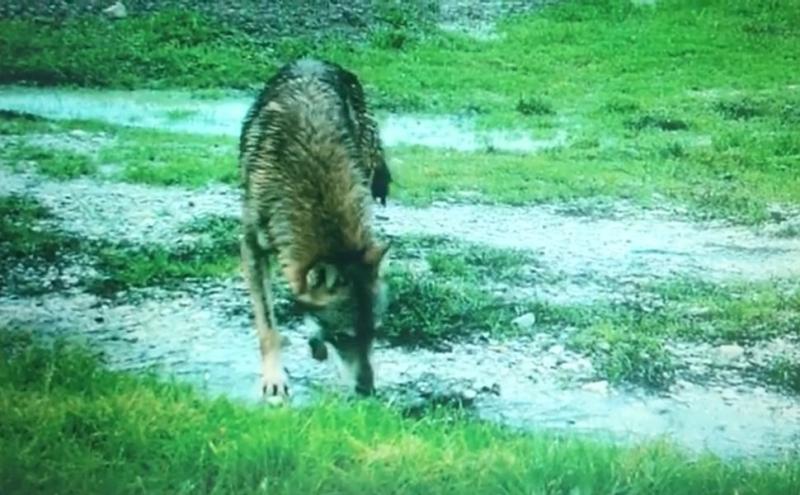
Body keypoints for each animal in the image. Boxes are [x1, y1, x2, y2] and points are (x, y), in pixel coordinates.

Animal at [238, 58, 391, 398]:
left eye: (374, 333)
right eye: (344, 337)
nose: (368, 391)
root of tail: (314, 59)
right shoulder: (251, 247)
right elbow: (268, 326)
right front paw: (274, 379)